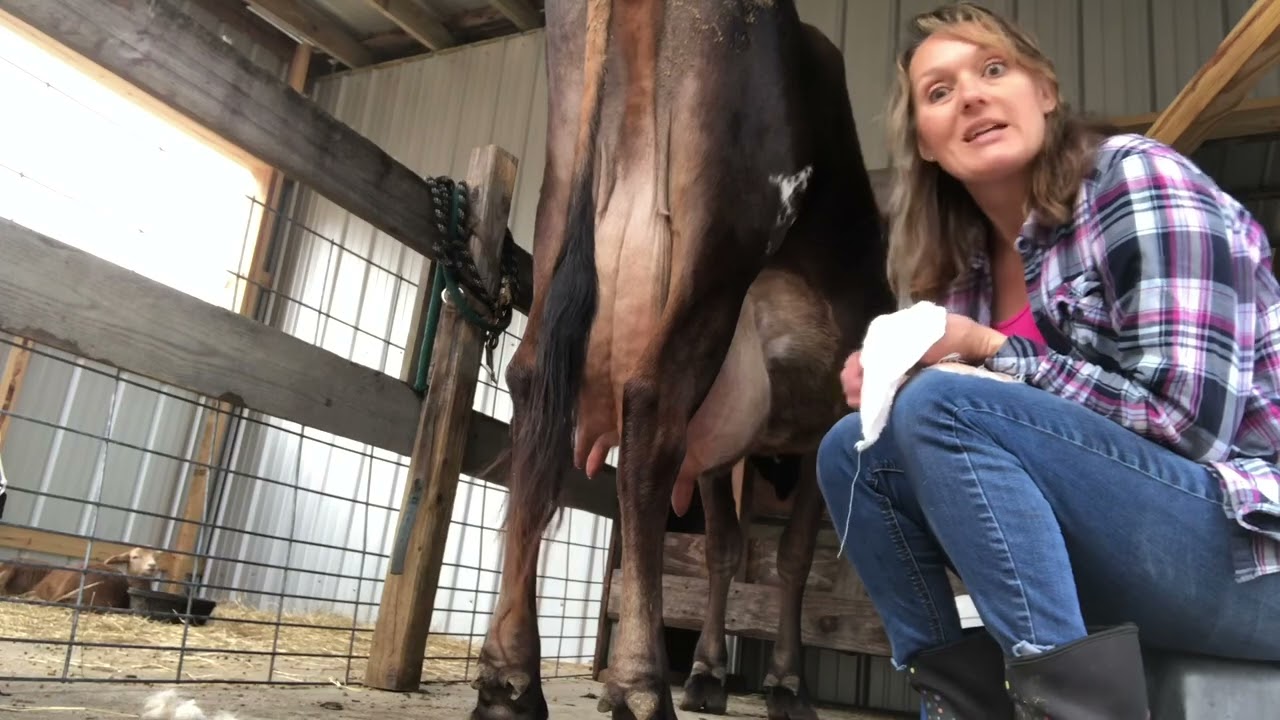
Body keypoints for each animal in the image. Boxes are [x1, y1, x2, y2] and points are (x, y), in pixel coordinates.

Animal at [470, 0, 894, 718]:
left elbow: (725, 548)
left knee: (530, 391)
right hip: (720, 233)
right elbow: (791, 556)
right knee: (650, 407)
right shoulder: (825, 419)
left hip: (560, 207)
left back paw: (509, 675)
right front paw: (784, 682)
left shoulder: (731, 446)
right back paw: (639, 684)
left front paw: (709, 671)